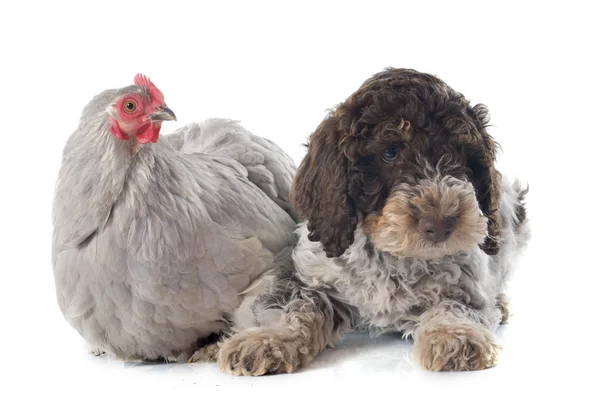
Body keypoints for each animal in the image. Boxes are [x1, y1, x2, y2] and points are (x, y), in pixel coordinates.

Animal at [191, 67, 528, 374]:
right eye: (390, 153)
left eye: (461, 154)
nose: (442, 225)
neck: (393, 255)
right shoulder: (310, 278)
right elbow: (296, 307)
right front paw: (265, 340)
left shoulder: (465, 286)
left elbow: (457, 306)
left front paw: (457, 337)